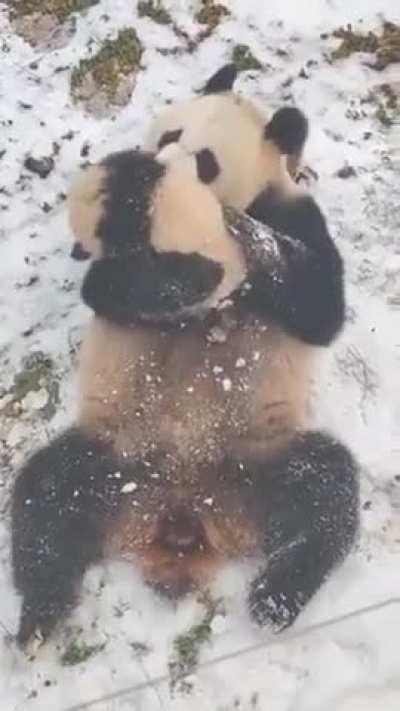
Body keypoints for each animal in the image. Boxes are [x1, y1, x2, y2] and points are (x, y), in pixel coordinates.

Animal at [11, 145, 359, 647]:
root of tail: (182, 515)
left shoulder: (292, 213)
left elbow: (320, 304)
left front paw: (235, 245)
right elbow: (106, 291)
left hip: (255, 460)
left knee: (324, 488)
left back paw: (275, 598)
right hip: (116, 456)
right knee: (47, 494)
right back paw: (41, 616)